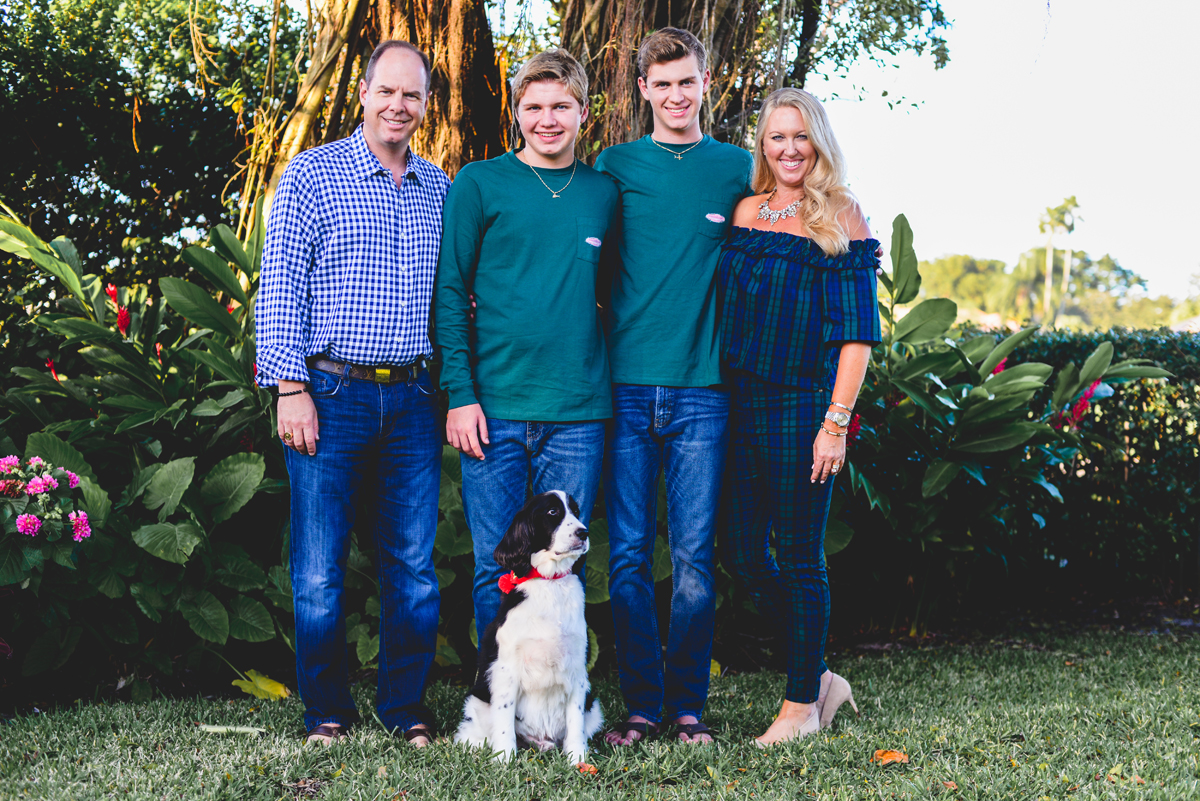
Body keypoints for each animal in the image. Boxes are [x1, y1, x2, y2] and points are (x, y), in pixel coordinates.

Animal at [451, 489, 600, 762]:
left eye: (576, 511)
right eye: (552, 512)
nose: (583, 533)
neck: (549, 584)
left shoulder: (577, 669)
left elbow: (576, 721)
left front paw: (577, 759)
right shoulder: (506, 669)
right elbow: (504, 719)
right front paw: (504, 759)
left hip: (593, 704)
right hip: (477, 701)